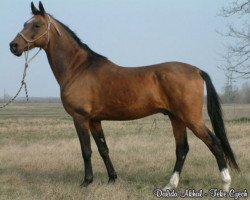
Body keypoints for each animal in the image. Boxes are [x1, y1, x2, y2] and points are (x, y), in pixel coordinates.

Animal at [10, 1, 240, 192]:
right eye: (24, 23)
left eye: (36, 25)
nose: (14, 46)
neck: (78, 69)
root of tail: (197, 70)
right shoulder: (94, 120)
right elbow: (103, 149)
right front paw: (112, 178)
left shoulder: (80, 118)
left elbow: (86, 150)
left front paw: (86, 182)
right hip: (176, 118)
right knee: (182, 148)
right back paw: (170, 185)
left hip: (191, 118)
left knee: (214, 143)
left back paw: (225, 184)